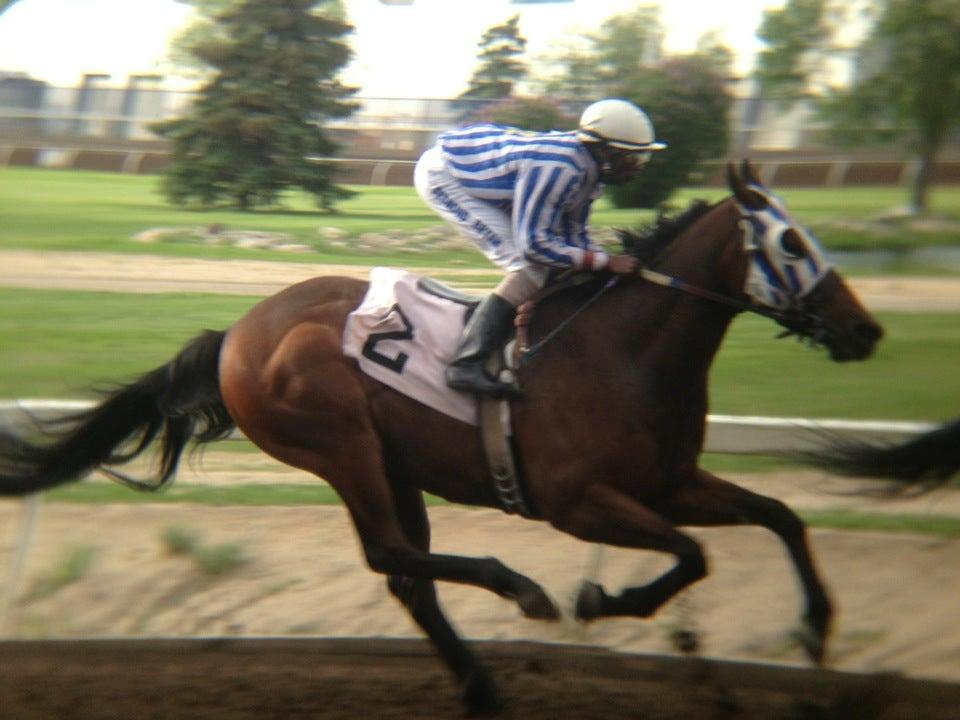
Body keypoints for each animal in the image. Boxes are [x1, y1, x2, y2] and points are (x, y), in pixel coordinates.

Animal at [0, 163, 884, 716]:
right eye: (793, 242)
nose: (865, 331)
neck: (620, 353)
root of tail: (235, 335)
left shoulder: (669, 483)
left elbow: (778, 516)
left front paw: (816, 633)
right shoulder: (578, 502)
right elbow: (690, 554)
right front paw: (603, 600)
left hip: (394, 462)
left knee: (409, 577)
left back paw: (483, 685)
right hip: (341, 444)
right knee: (392, 555)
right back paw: (516, 589)